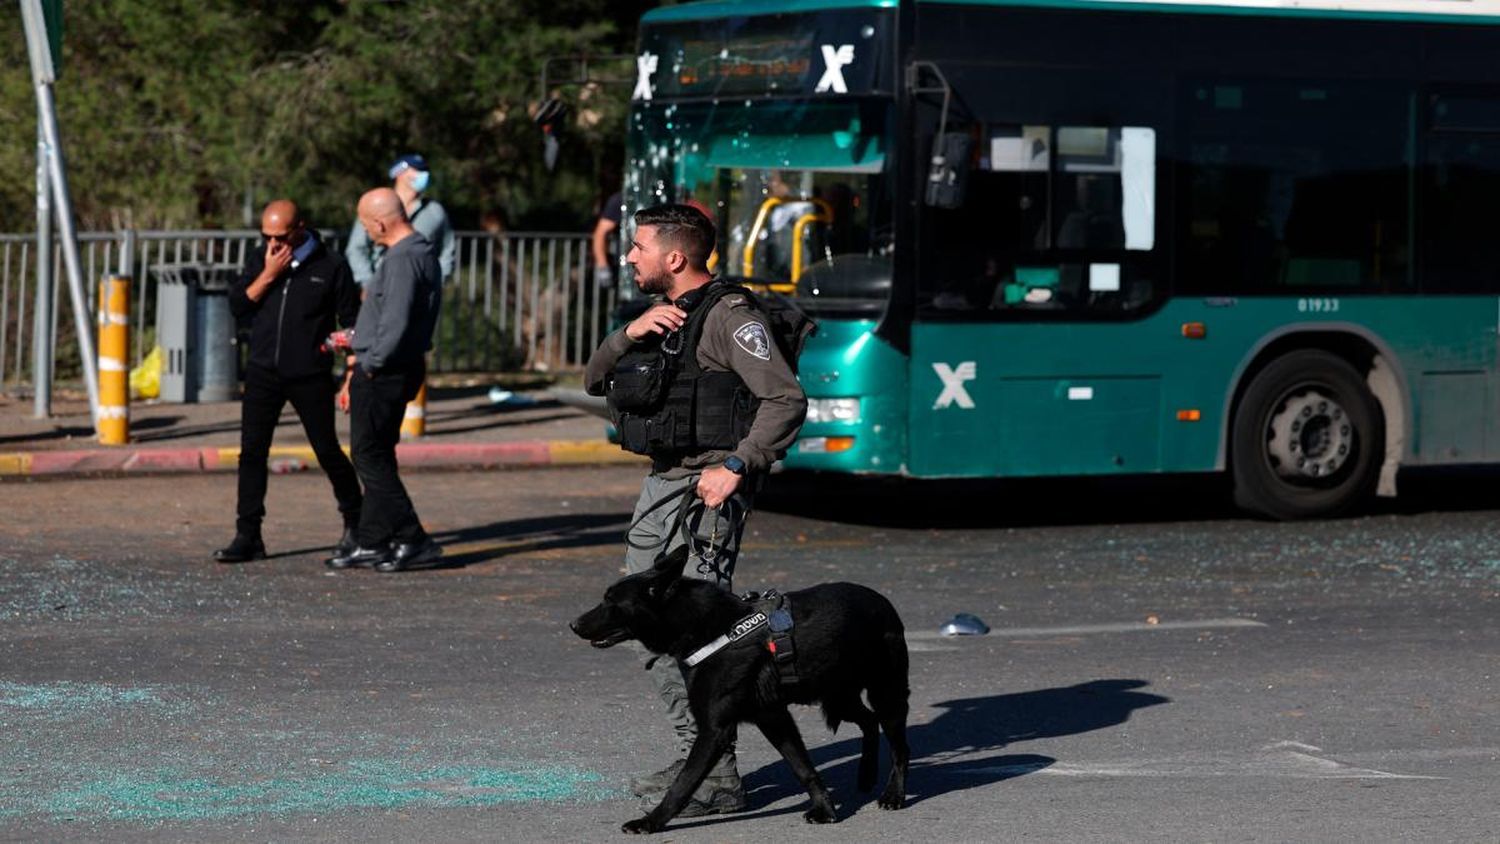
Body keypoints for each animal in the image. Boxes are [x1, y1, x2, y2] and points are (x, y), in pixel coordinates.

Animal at [567, 545, 906, 833]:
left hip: (884, 694)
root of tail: (883, 601)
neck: (705, 628)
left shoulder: (715, 730)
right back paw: (866, 774)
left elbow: (683, 782)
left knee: (899, 746)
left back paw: (893, 795)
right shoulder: (773, 718)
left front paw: (651, 821)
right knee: (868, 721)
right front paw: (826, 808)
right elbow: (802, 767)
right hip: (835, 698)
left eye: (611, 601)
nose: (573, 624)